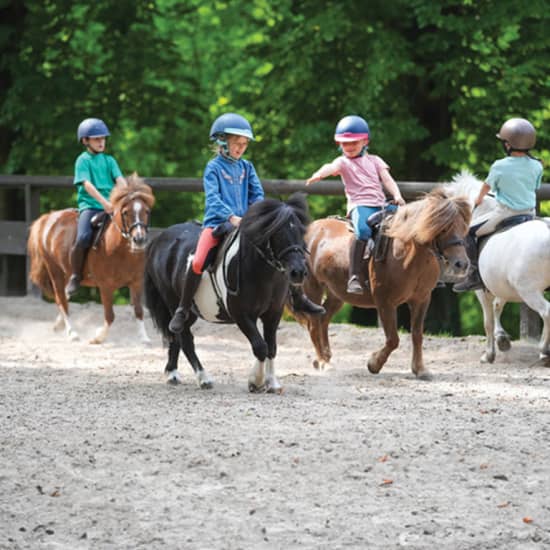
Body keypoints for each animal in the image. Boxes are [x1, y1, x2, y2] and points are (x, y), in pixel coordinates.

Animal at [28, 174, 155, 344]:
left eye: (146, 211)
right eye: (126, 212)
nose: (139, 240)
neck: (120, 250)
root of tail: (48, 217)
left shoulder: (136, 282)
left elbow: (139, 310)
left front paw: (144, 337)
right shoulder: (106, 286)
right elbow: (110, 315)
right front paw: (98, 337)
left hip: (66, 271)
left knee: (66, 294)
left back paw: (59, 324)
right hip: (55, 271)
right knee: (61, 300)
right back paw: (72, 333)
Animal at [144, 194, 312, 392]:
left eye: (301, 232)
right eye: (277, 233)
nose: (298, 272)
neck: (261, 271)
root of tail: (160, 238)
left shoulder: (273, 313)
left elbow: (271, 347)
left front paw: (272, 382)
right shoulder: (242, 315)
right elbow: (260, 346)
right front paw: (256, 381)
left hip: (191, 311)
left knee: (176, 336)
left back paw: (172, 373)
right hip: (172, 301)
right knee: (185, 338)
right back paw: (203, 378)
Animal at [292, 188, 472, 382]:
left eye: (464, 227)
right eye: (443, 228)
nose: (461, 264)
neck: (407, 253)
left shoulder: (421, 299)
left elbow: (417, 334)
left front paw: (420, 369)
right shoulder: (385, 302)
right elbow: (393, 339)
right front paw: (374, 364)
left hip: (337, 293)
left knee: (324, 319)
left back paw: (325, 358)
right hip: (313, 287)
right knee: (314, 324)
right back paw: (323, 362)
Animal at [446, 170, 550, 364]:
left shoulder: (481, 289)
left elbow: (487, 321)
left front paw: (489, 355)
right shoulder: (500, 284)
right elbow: (497, 306)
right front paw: (502, 340)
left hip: (529, 291)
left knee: (546, 312)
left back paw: (544, 351)